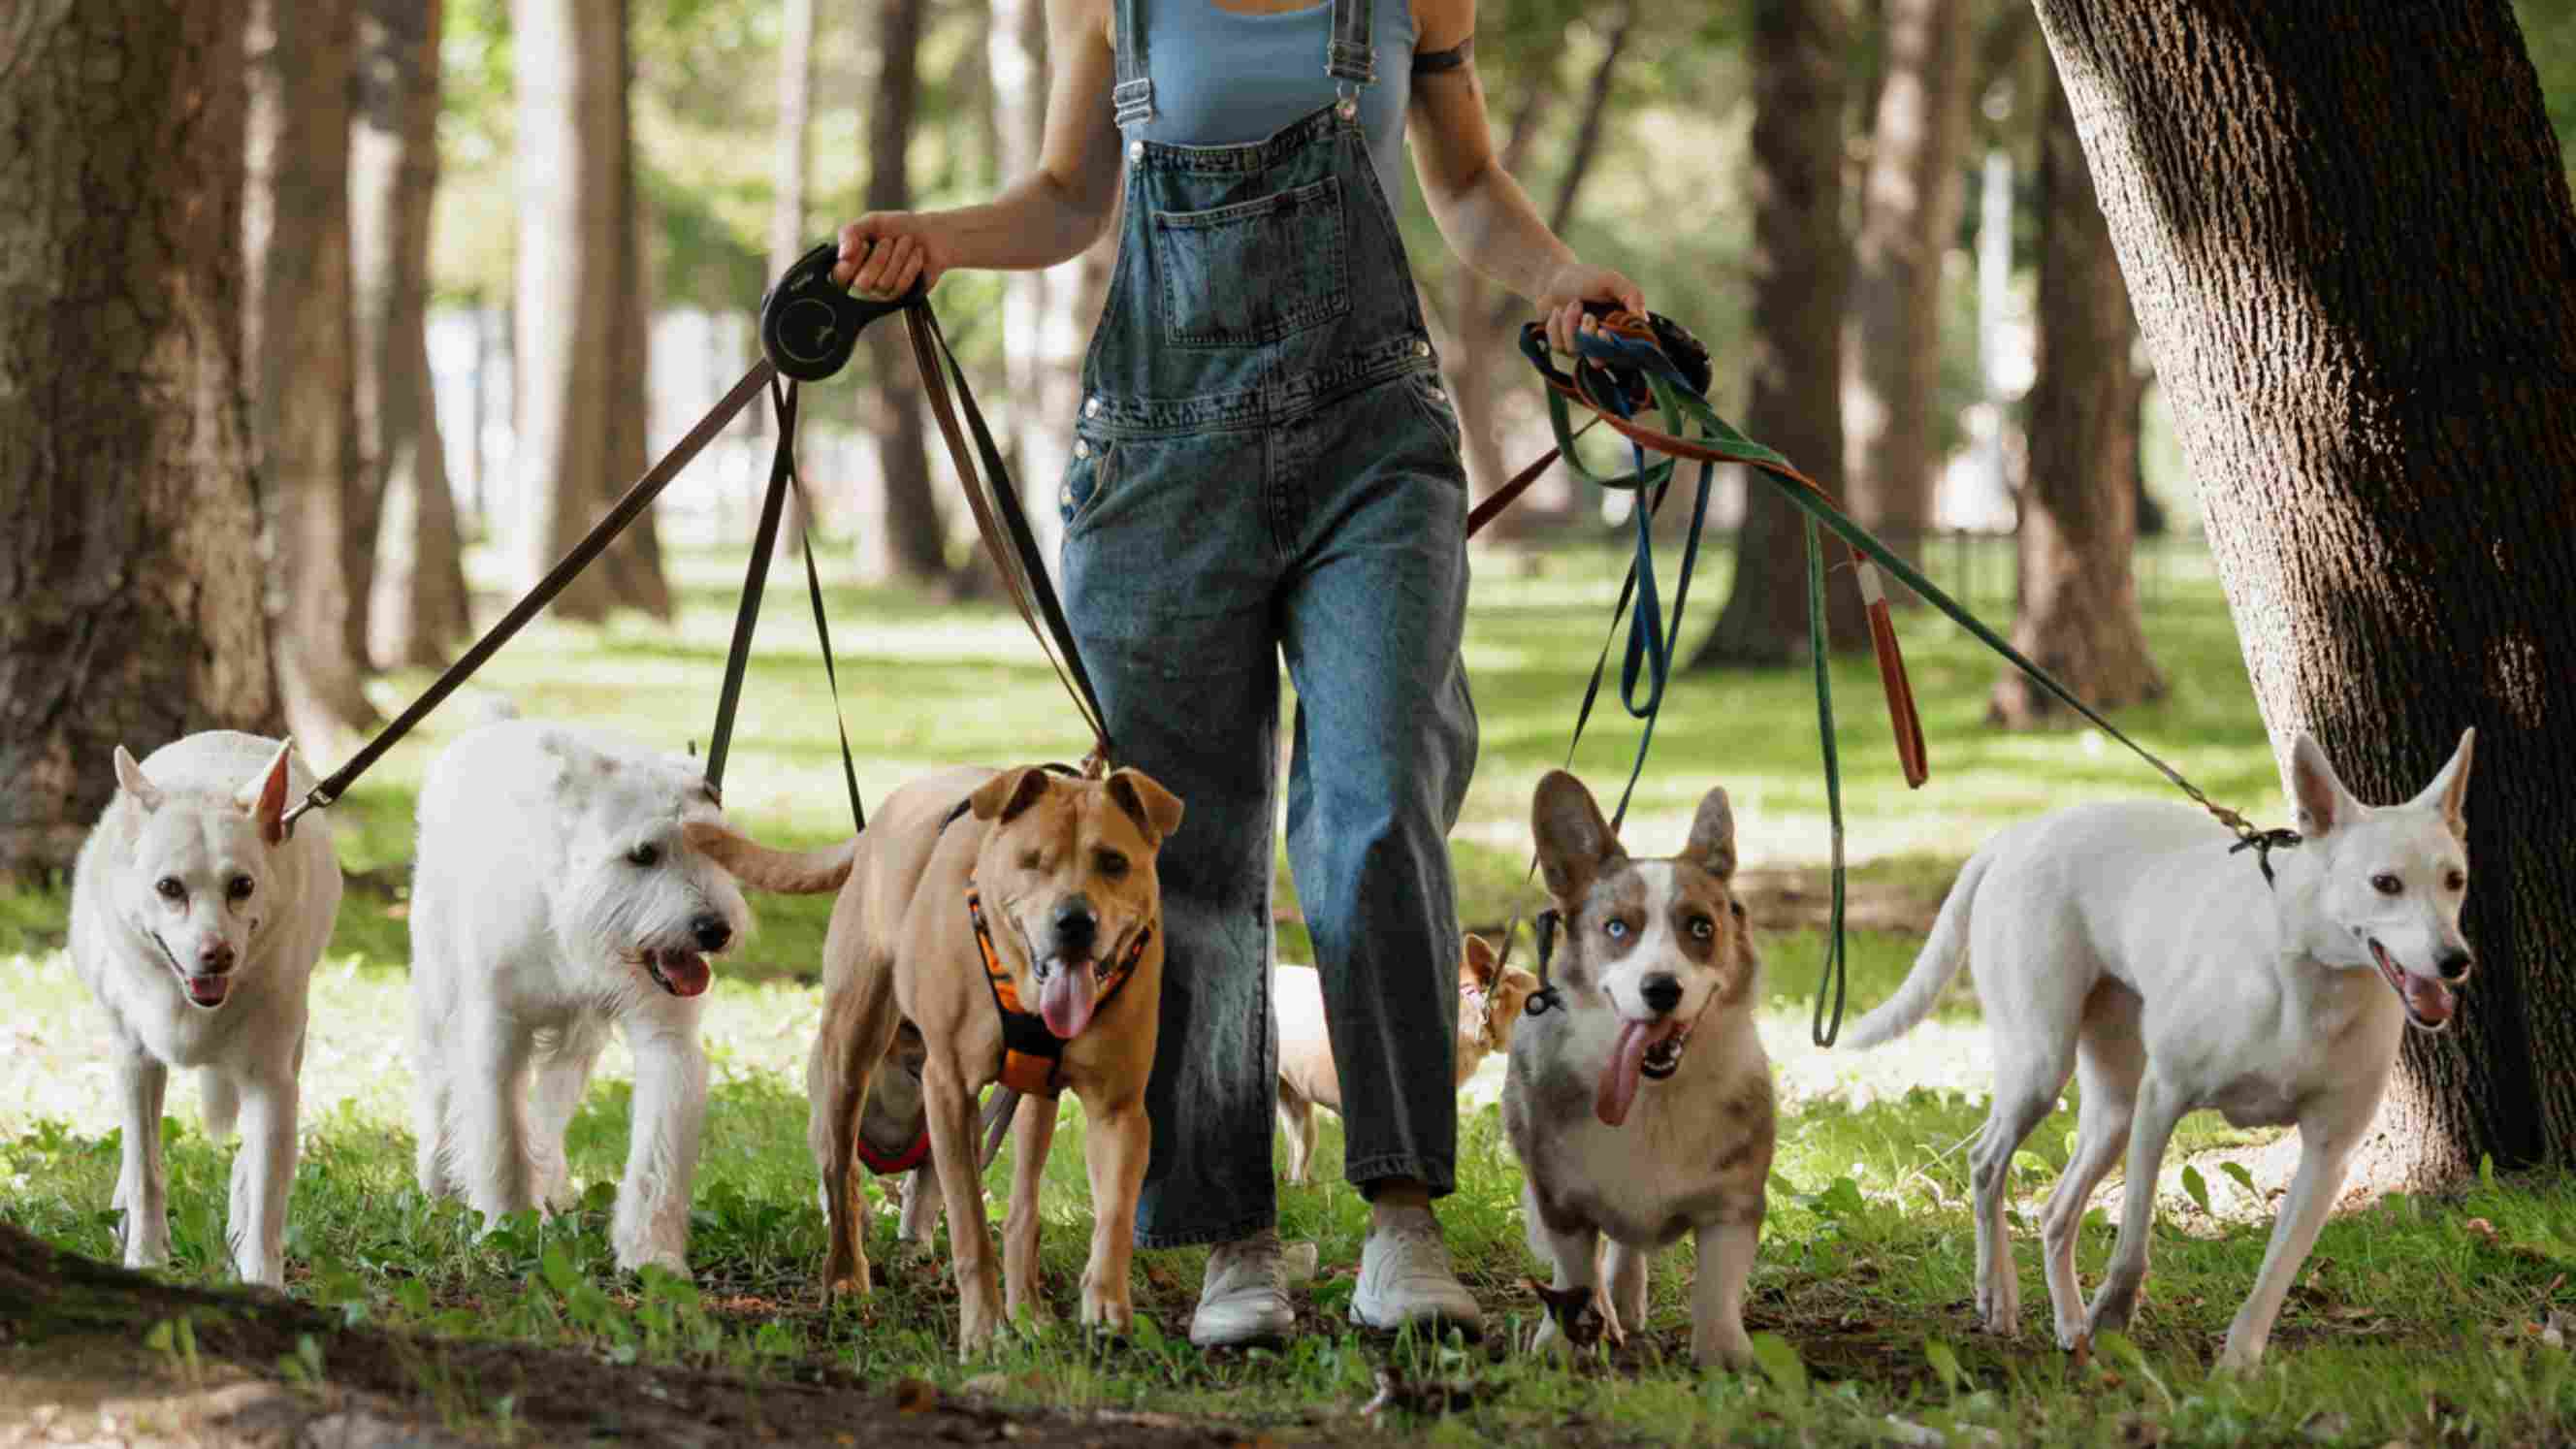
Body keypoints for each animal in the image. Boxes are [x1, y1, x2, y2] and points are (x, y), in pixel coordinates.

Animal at [70, 726, 344, 1278]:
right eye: (168, 887)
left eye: (242, 886)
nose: (217, 954)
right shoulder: (135, 1062)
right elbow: (145, 1167)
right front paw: (147, 1260)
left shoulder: (270, 1078)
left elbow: (267, 1195)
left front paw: (263, 1280)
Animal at [402, 717, 747, 1268]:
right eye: (643, 854)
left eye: (715, 847)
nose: (714, 930)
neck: (568, 914)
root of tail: (494, 720)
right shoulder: (498, 1034)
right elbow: (501, 1135)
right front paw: (508, 1226)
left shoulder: (667, 1039)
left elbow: (657, 1155)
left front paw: (651, 1254)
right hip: (438, 996)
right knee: (438, 1087)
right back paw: (436, 1184)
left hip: (576, 1047)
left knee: (547, 1117)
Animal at [674, 762, 1179, 1350]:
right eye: (1033, 861)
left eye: (1114, 862)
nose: (1075, 921)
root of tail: (887, 812)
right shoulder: (951, 1093)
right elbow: (968, 1228)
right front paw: (982, 1331)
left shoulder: (1117, 1108)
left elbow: (1111, 1213)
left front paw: (1103, 1303)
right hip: (848, 1052)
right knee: (841, 1175)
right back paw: (846, 1279)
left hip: (1032, 1099)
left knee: (1024, 1201)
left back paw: (1028, 1309)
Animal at [1854, 726, 2472, 1361]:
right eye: (2385, 883)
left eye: (2455, 880)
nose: (2456, 961)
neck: (2309, 980)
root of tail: (2018, 836)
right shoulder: (2162, 1099)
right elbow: (2133, 1236)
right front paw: (2114, 1310)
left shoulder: (2328, 1155)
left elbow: (2272, 1279)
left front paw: (2238, 1365)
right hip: (2041, 1066)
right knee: (1986, 1164)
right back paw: (1998, 1293)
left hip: (2112, 1110)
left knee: (2055, 1212)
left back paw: (2069, 1324)